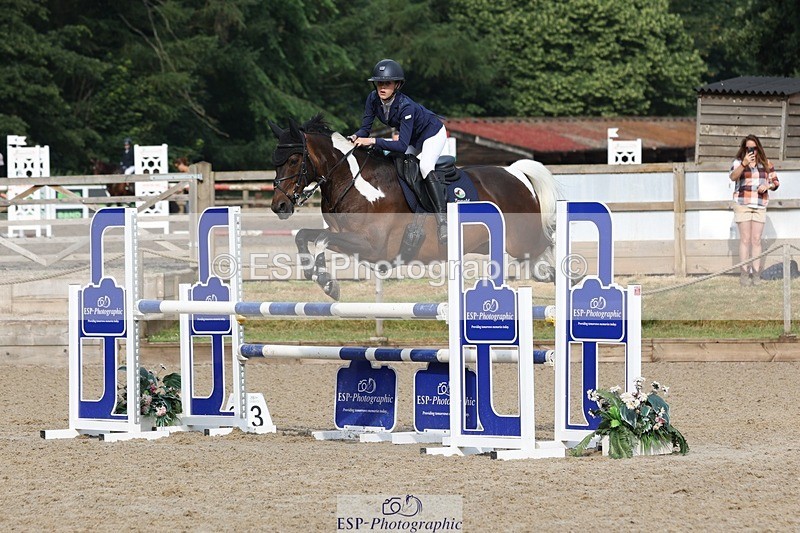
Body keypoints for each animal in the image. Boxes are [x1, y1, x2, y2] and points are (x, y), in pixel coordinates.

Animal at [269, 115, 559, 300]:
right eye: (276, 161)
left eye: (294, 160)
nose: (279, 206)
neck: (354, 181)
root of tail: (516, 173)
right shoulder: (349, 240)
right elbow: (306, 235)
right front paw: (313, 272)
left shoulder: (373, 245)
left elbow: (321, 239)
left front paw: (328, 284)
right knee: (539, 260)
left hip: (522, 241)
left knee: (548, 245)